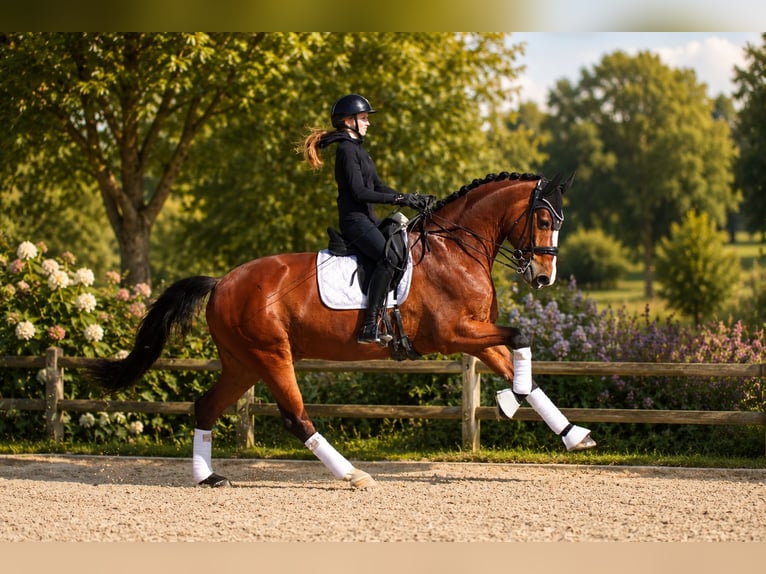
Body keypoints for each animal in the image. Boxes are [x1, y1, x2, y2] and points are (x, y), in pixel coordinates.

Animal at [86, 170, 594, 489]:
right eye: (543, 219)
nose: (543, 277)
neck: (456, 247)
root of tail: (222, 282)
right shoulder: (455, 333)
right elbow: (522, 339)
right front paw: (510, 401)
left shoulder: (477, 331)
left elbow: (521, 367)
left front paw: (571, 433)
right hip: (271, 355)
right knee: (296, 417)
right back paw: (352, 474)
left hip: (242, 362)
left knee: (206, 406)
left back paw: (209, 477)